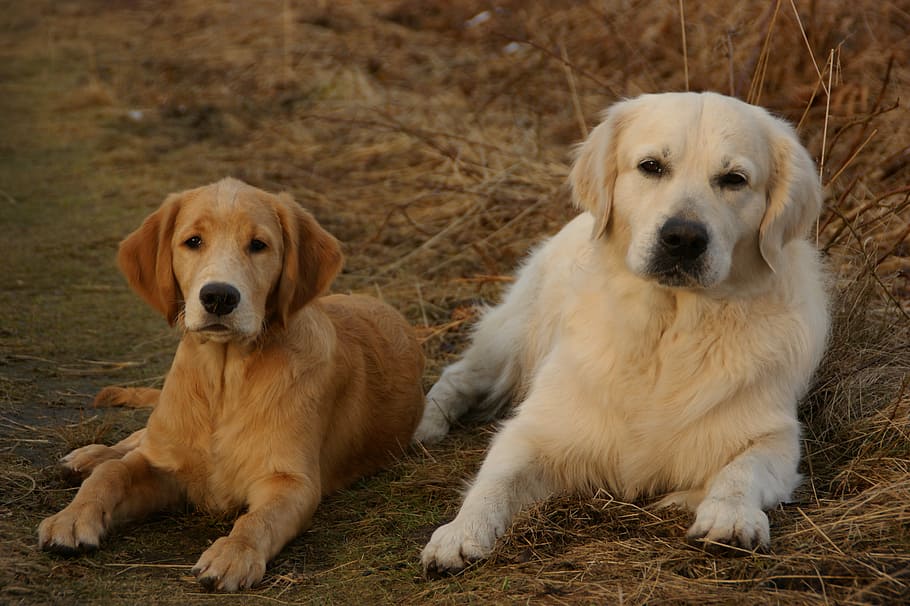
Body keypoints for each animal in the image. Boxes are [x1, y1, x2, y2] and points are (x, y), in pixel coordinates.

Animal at [39, 177, 428, 592]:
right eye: (193, 241)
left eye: (258, 245)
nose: (218, 297)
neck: (223, 382)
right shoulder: (164, 466)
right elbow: (113, 474)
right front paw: (73, 517)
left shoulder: (291, 481)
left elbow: (257, 520)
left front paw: (233, 553)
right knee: (134, 441)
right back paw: (89, 455)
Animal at [420, 91, 832, 576]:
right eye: (651, 166)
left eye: (734, 179)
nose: (684, 238)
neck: (665, 331)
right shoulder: (539, 429)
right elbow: (495, 480)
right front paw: (460, 533)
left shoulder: (773, 434)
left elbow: (742, 470)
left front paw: (728, 516)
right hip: (509, 342)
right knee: (457, 375)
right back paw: (426, 425)